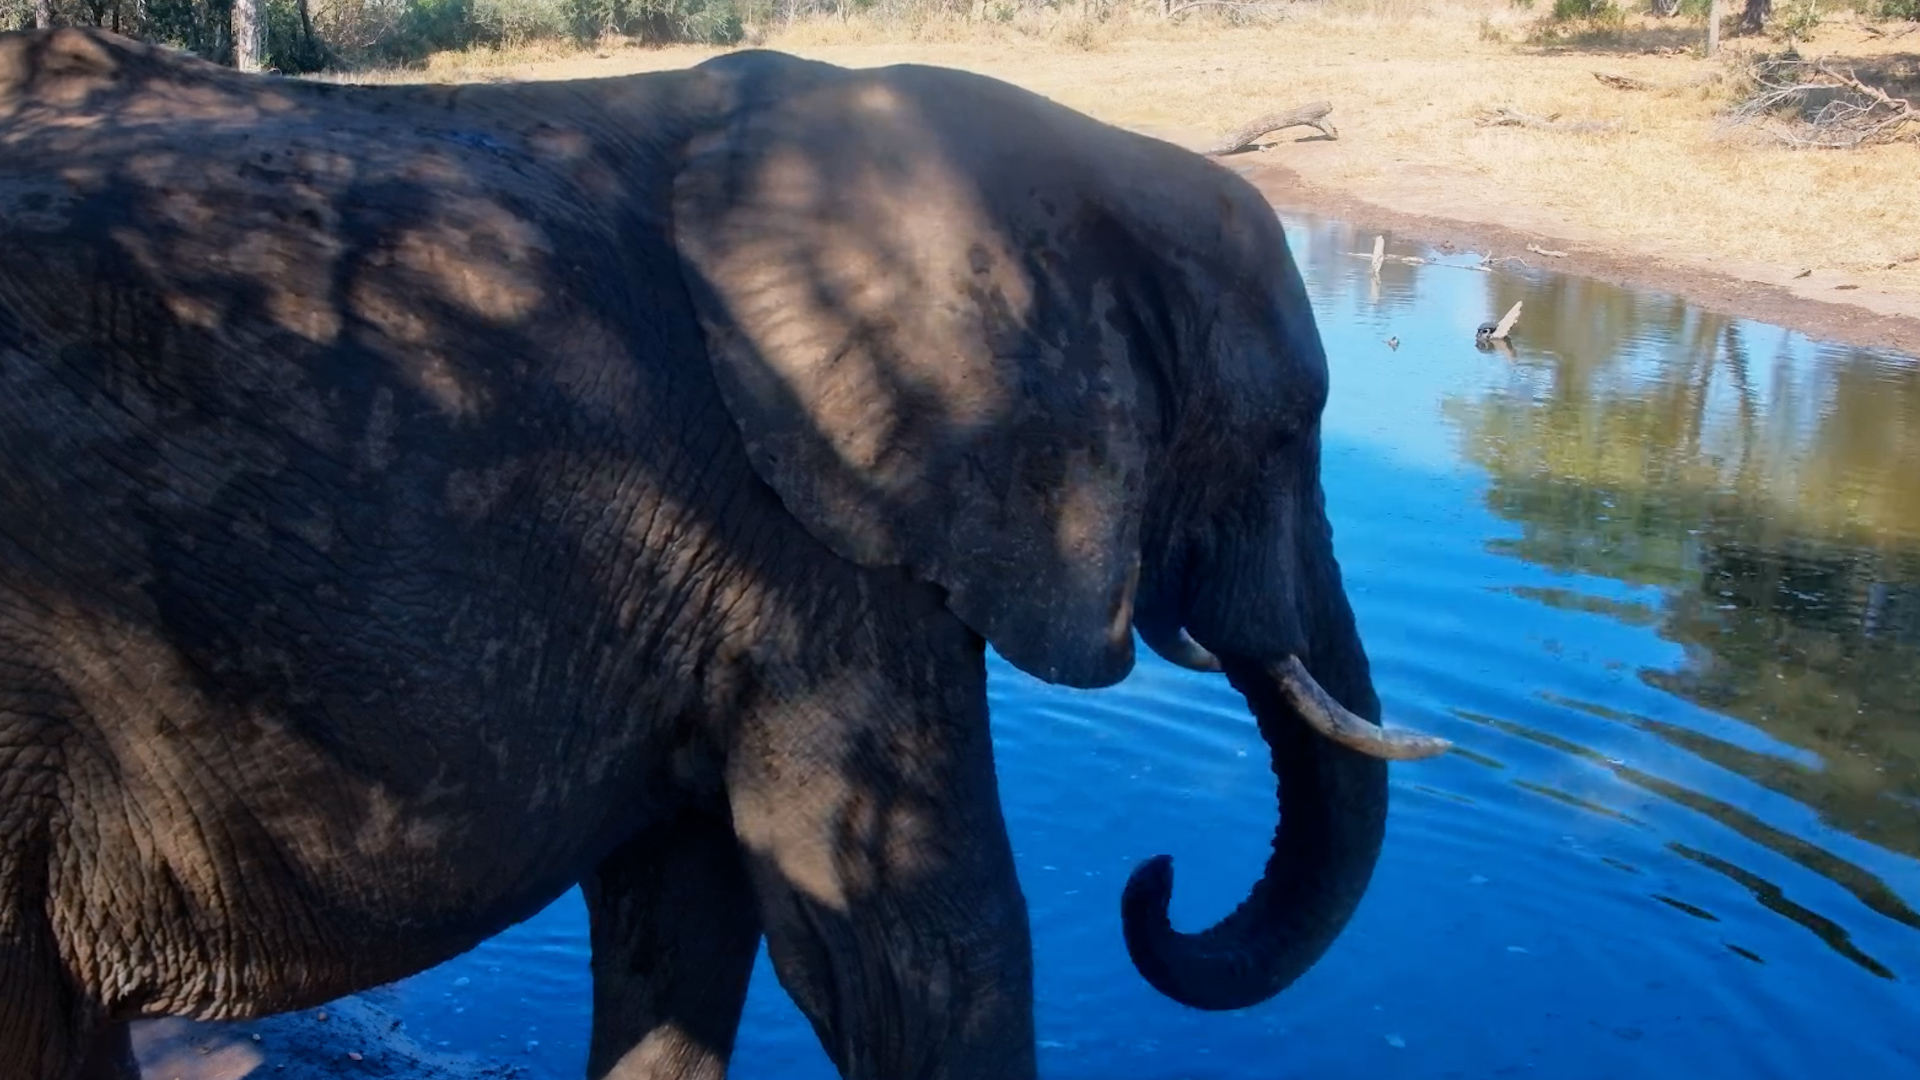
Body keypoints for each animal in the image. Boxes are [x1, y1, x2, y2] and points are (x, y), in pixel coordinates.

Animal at [0, 27, 1450, 1080]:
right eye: (1285, 432)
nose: (1155, 885)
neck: (1068, 158)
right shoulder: (813, 543)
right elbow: (917, 942)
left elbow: (688, 918)